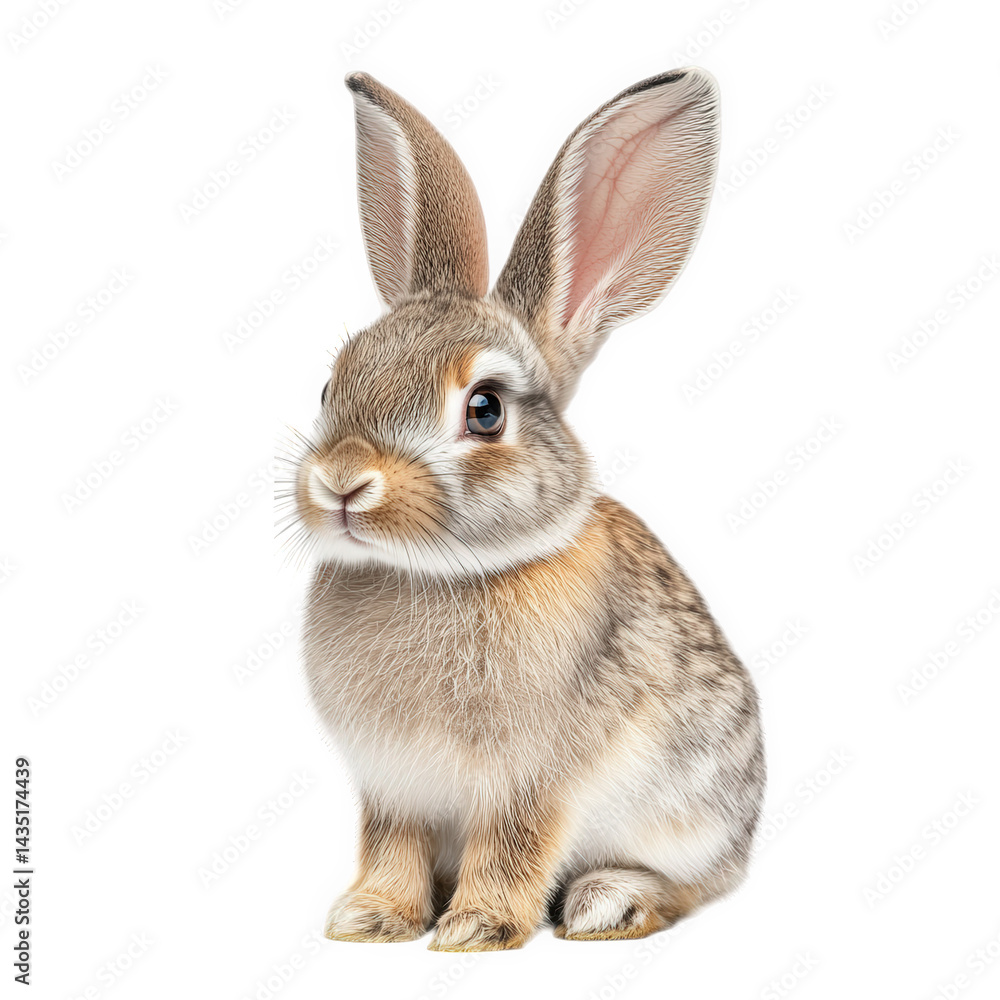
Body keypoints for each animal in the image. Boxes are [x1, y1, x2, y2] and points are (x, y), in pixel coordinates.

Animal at [292, 67, 765, 952]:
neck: (437, 573)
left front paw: (475, 928)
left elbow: (513, 848)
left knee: (697, 886)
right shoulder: (394, 786)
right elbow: (391, 846)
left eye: (484, 411)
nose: (341, 482)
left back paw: (610, 901)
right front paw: (371, 917)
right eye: (332, 386)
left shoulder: (535, 780)